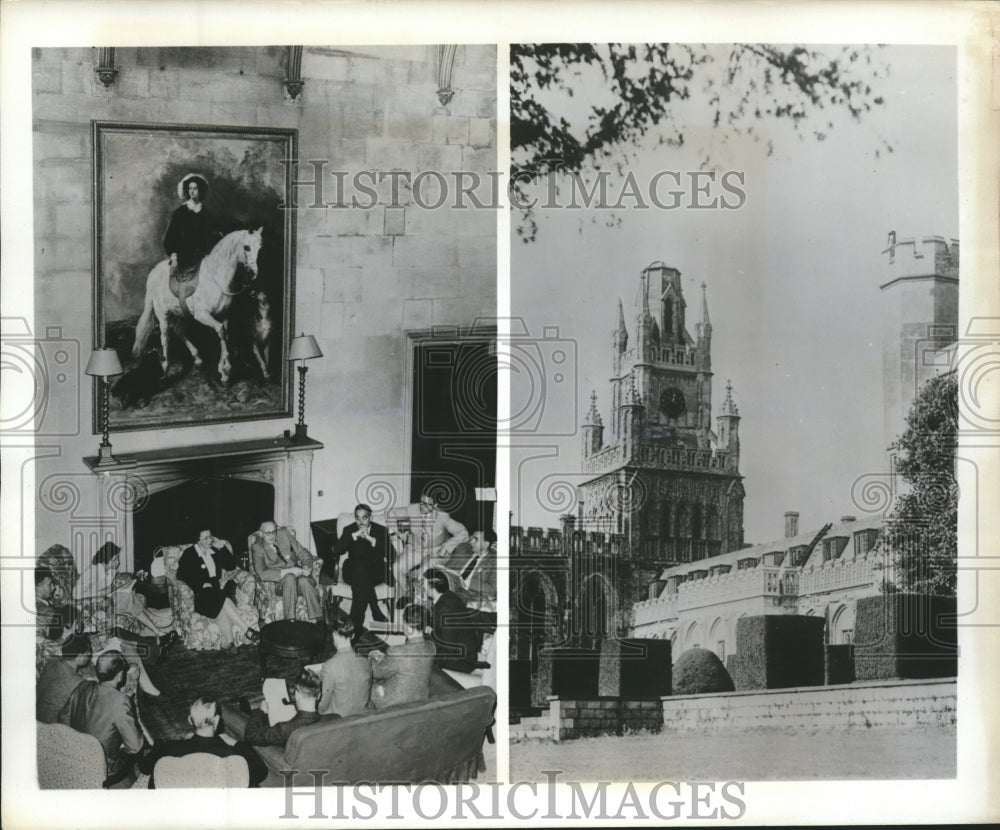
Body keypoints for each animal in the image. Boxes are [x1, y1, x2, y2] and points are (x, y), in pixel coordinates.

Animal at [135, 226, 264, 386]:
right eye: (246, 247)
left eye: (260, 247)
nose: (254, 273)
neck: (215, 279)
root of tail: (153, 273)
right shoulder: (202, 315)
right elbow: (220, 331)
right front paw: (225, 370)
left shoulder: (224, 315)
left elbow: (224, 335)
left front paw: (224, 370)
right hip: (162, 314)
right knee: (165, 337)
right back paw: (164, 370)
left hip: (180, 312)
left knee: (178, 330)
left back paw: (197, 358)